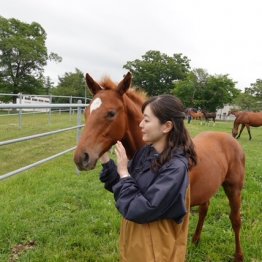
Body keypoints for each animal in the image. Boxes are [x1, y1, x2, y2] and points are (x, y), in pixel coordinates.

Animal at [74, 72, 246, 260]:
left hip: (234, 188)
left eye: (111, 113)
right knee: (204, 209)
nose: (81, 157)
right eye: (86, 112)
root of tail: (230, 138)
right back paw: (196, 240)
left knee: (235, 219)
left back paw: (238, 255)